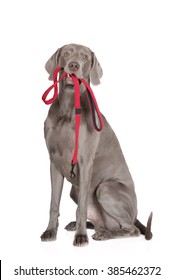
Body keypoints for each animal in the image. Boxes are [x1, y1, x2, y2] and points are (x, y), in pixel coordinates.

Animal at [40, 42, 152, 246]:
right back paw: (86, 227)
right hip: (74, 191)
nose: (74, 65)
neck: (68, 108)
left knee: (131, 230)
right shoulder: (54, 161)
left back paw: (103, 234)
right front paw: (50, 231)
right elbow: (54, 203)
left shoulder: (85, 162)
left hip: (105, 187)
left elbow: (82, 208)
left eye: (85, 57)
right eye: (66, 53)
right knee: (101, 222)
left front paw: (81, 236)